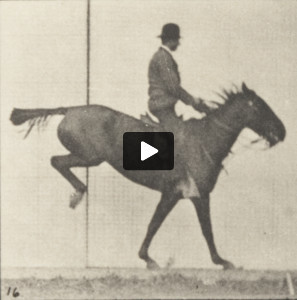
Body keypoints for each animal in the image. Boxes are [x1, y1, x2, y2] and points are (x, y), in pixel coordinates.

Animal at [10, 82, 286, 270]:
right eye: (260, 107)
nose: (282, 131)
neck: (204, 140)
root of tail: (71, 109)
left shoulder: (179, 195)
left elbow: (162, 224)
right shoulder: (190, 194)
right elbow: (196, 228)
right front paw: (221, 261)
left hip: (89, 157)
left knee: (58, 162)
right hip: (90, 157)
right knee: (57, 161)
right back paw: (77, 193)